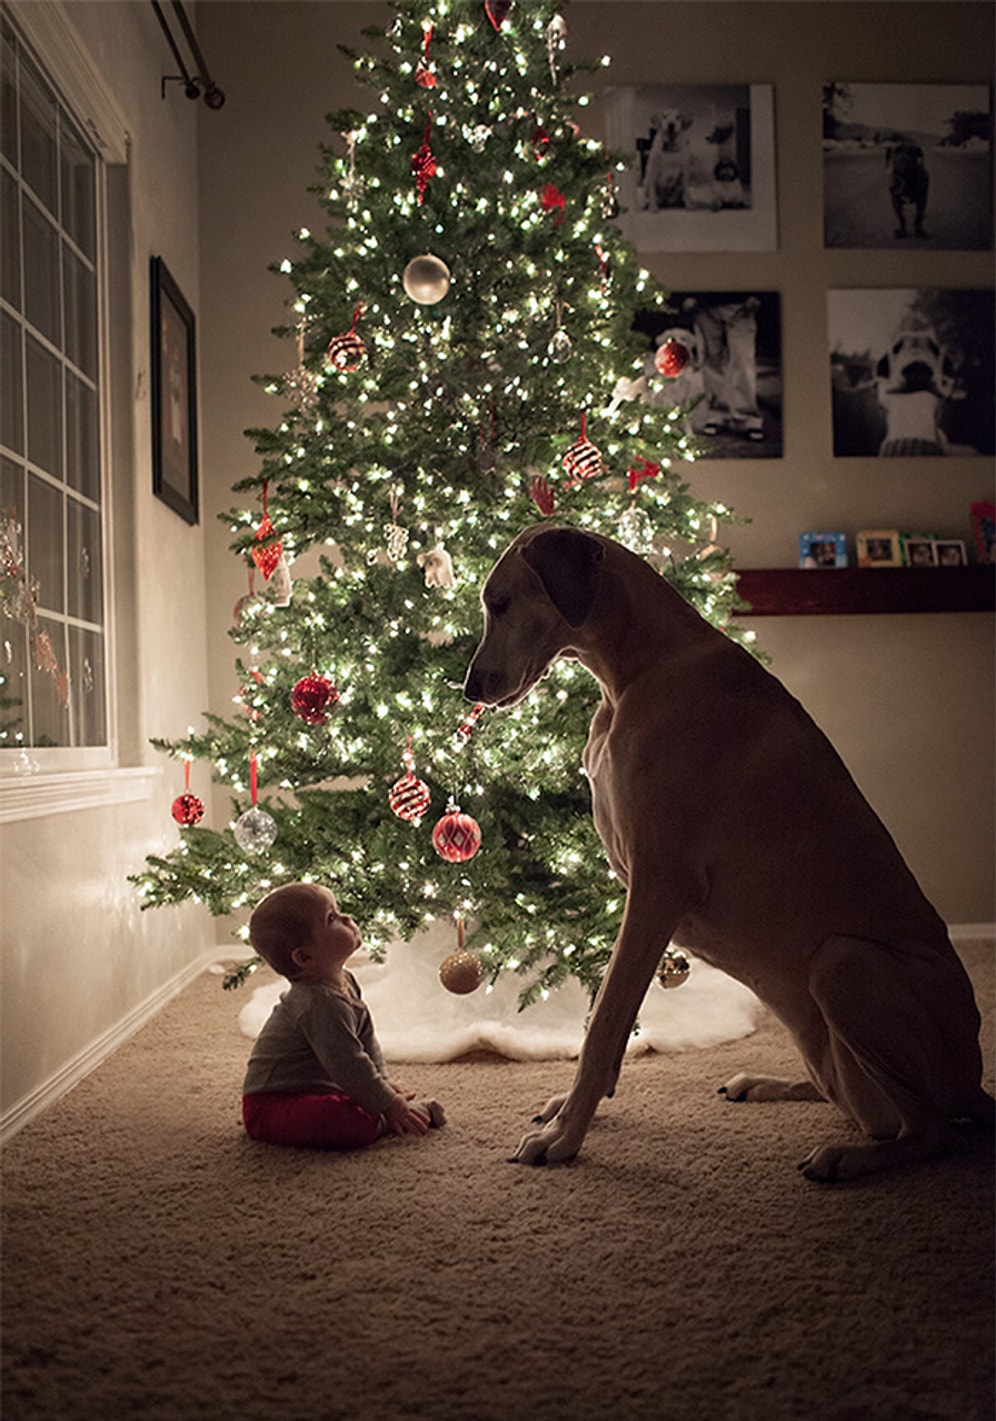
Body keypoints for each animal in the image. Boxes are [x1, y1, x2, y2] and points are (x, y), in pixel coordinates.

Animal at [463, 528, 988, 1182]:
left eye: (501, 603)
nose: (468, 688)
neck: (637, 667)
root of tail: (976, 1083)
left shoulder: (659, 887)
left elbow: (605, 1021)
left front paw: (565, 1136)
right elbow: (609, 1026)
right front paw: (573, 1112)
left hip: (844, 963)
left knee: (933, 1132)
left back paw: (847, 1158)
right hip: (826, 1042)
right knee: (868, 1108)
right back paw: (765, 1084)